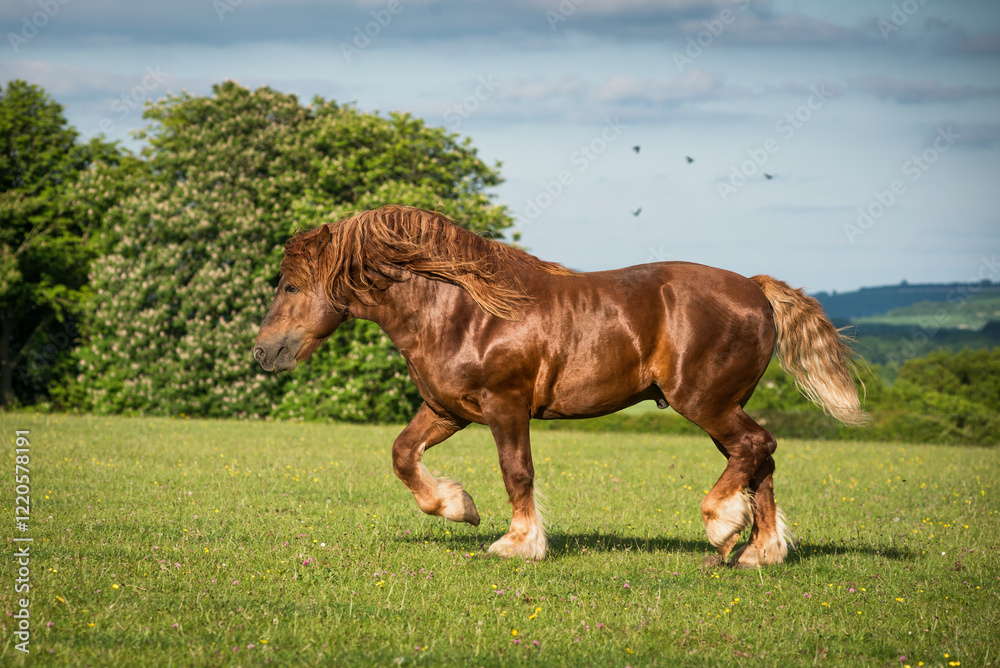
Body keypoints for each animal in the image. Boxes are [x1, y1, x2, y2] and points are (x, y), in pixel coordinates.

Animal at [253, 205, 866, 567]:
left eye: (290, 286)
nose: (263, 352)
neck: (460, 310)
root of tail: (756, 289)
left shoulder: (505, 405)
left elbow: (517, 471)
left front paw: (517, 543)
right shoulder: (448, 410)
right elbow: (403, 455)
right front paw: (457, 506)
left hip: (705, 402)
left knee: (758, 447)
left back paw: (722, 527)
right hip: (722, 406)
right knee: (759, 458)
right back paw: (759, 551)